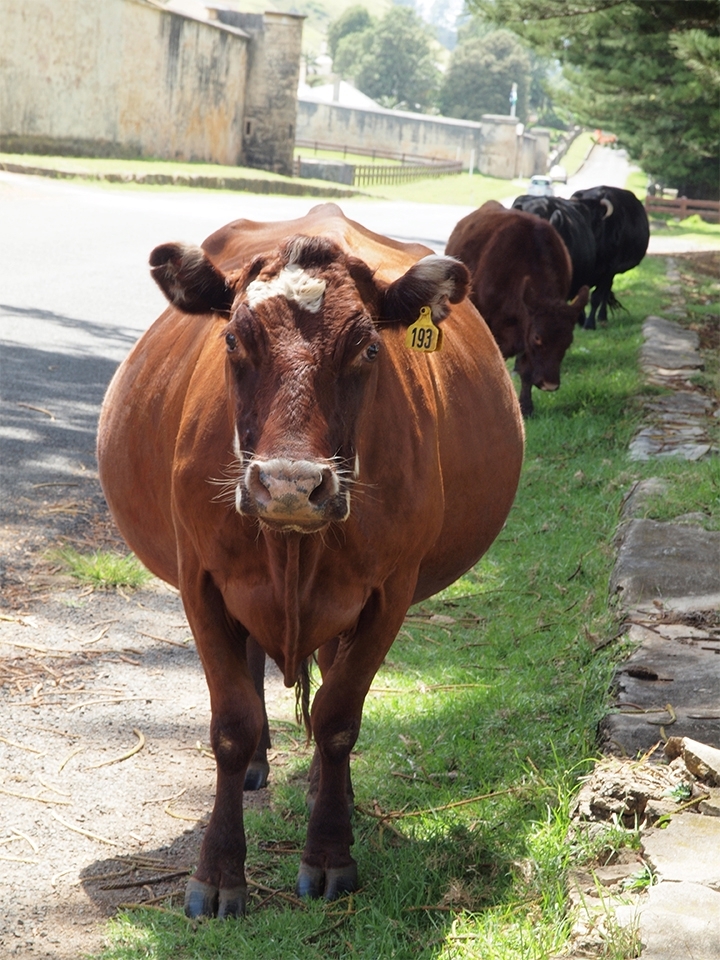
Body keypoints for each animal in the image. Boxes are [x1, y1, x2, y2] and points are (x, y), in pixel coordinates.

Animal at [96, 203, 524, 919]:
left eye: (369, 348)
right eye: (233, 341)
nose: (291, 484)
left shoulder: (390, 592)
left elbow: (338, 719)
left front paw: (330, 853)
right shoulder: (199, 581)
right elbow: (232, 723)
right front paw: (219, 873)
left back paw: (333, 790)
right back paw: (261, 767)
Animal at [570, 185, 650, 329]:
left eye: (595, 219)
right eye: (577, 216)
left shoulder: (609, 269)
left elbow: (596, 297)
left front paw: (589, 324)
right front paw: (580, 320)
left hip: (612, 272)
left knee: (605, 293)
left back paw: (602, 317)